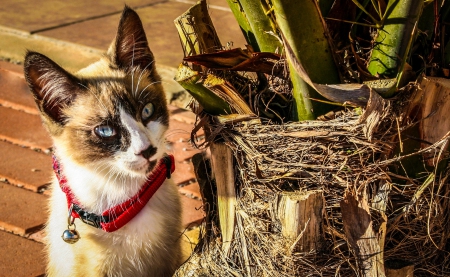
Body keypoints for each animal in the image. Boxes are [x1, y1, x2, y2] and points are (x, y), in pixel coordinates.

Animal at [22, 6, 184, 276]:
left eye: (147, 110)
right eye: (106, 131)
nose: (147, 150)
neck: (122, 198)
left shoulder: (168, 259)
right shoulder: (93, 268)